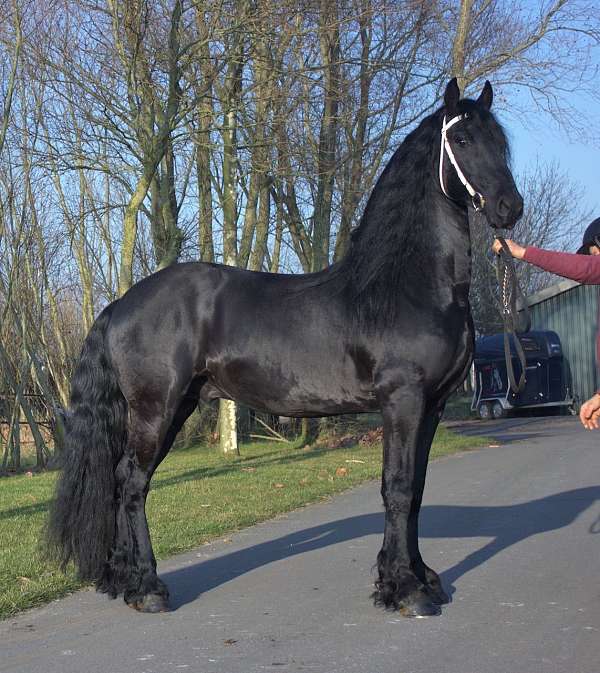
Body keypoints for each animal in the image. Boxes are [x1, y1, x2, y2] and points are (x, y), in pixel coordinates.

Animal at [47, 79, 524, 616]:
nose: (510, 207)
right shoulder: (403, 401)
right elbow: (398, 489)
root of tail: (121, 304)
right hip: (155, 409)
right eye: (461, 140)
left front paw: (418, 578)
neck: (409, 286)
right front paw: (405, 590)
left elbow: (417, 490)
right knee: (131, 483)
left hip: (176, 407)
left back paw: (125, 580)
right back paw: (147, 588)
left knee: (125, 481)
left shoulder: (434, 405)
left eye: (500, 142)